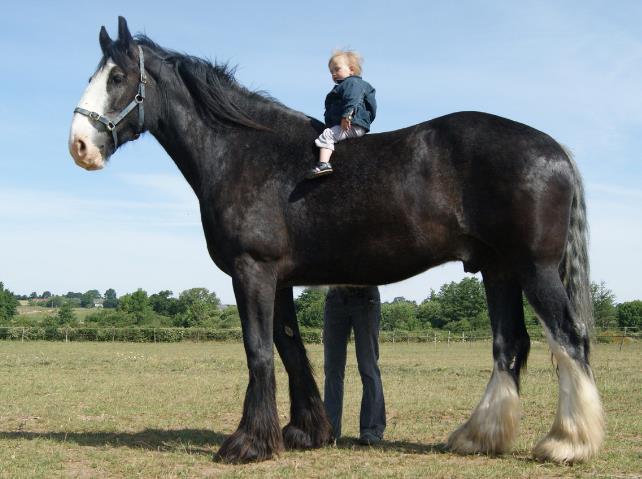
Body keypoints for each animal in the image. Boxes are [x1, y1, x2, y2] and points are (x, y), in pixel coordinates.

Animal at [68, 17, 604, 464]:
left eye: (117, 77)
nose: (80, 145)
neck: (243, 151)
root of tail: (554, 148)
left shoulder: (252, 270)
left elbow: (258, 350)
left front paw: (247, 444)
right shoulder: (278, 279)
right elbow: (290, 348)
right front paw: (305, 432)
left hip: (534, 269)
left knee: (569, 337)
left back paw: (567, 443)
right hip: (498, 270)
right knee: (509, 343)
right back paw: (478, 436)